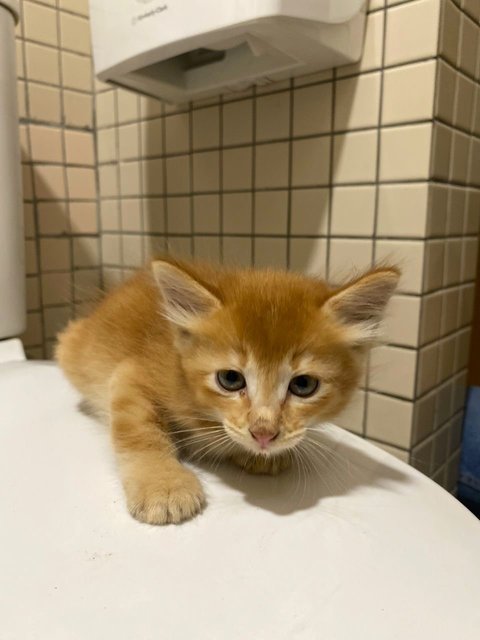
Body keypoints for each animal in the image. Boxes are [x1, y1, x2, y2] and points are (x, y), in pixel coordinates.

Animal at [56, 256, 400, 524]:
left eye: (303, 385)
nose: (264, 433)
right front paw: (163, 485)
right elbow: (141, 432)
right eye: (230, 380)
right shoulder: (131, 374)